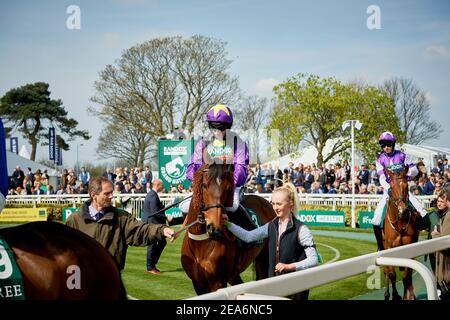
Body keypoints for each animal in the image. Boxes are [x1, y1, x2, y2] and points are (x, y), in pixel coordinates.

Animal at [181, 164, 276, 294]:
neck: (200, 243)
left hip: (263, 258)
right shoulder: (197, 283)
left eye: (228, 188)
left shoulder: (218, 282)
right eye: (204, 185)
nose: (214, 228)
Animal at [382, 165, 420, 300]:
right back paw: (387, 294)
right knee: (386, 271)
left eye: (406, 185)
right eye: (391, 187)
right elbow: (392, 274)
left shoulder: (409, 246)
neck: (400, 223)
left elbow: (406, 277)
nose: (403, 211)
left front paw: (407, 297)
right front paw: (395, 295)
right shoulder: (389, 247)